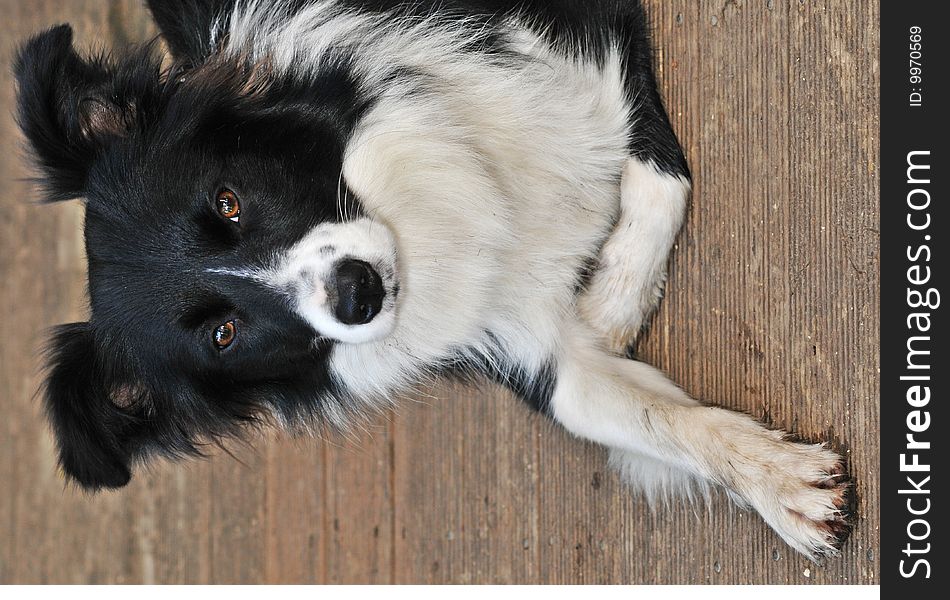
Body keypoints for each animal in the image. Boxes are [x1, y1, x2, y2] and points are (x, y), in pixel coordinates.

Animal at [13, 0, 848, 560]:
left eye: (227, 201)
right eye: (223, 333)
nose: (358, 293)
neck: (414, 221)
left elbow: (659, 176)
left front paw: (614, 298)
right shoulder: (520, 343)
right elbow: (640, 417)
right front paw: (786, 488)